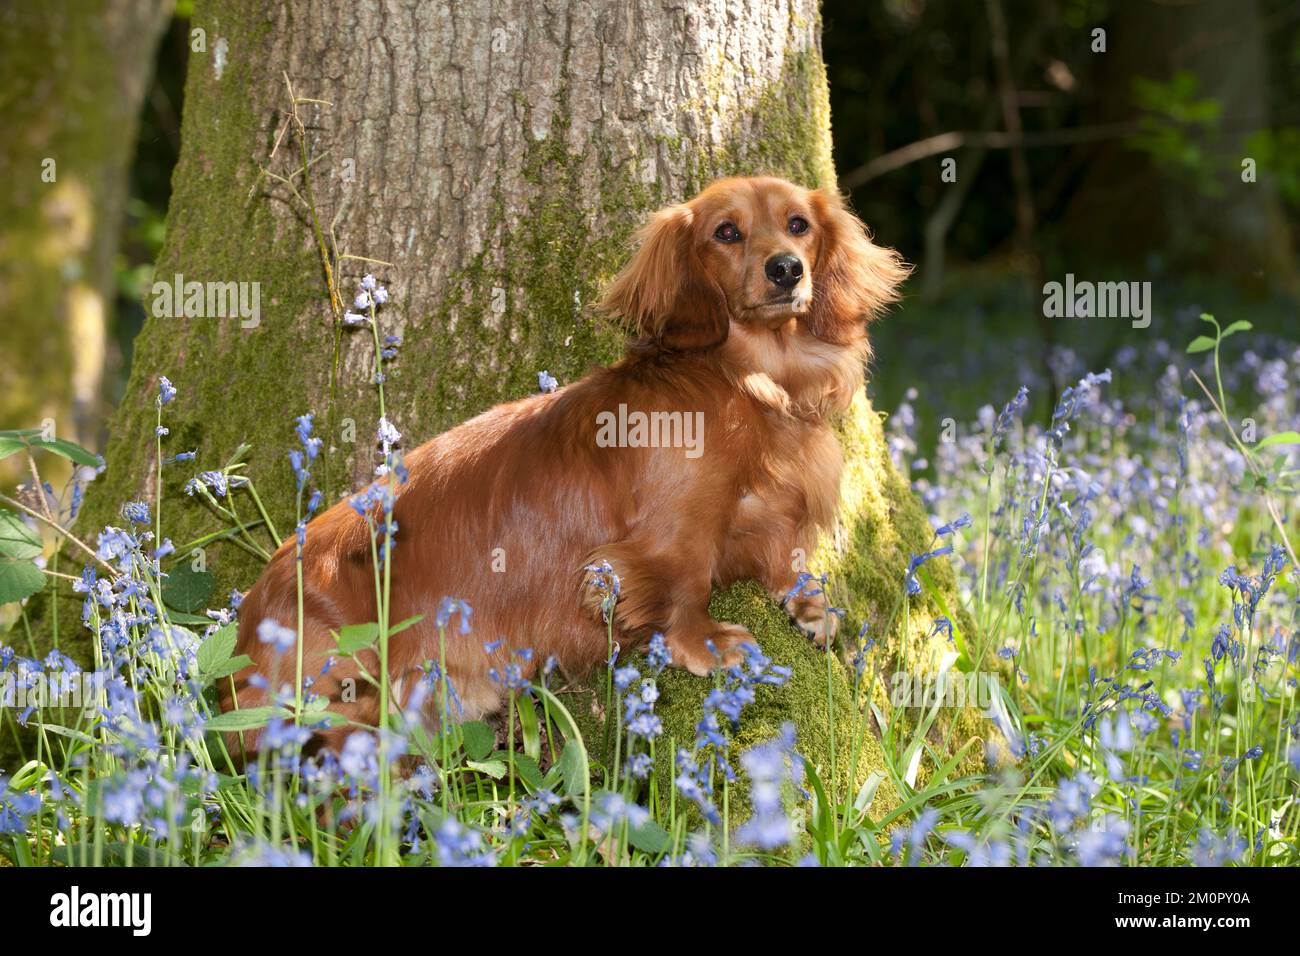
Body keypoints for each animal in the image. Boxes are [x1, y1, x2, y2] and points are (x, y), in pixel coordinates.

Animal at [223, 175, 909, 749]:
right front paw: (705, 642)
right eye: (726, 232)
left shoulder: (776, 509)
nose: (786, 269)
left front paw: (811, 606)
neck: (747, 380)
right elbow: (684, 582)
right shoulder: (679, 525)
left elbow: (786, 560)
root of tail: (252, 613)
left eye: (799, 224)